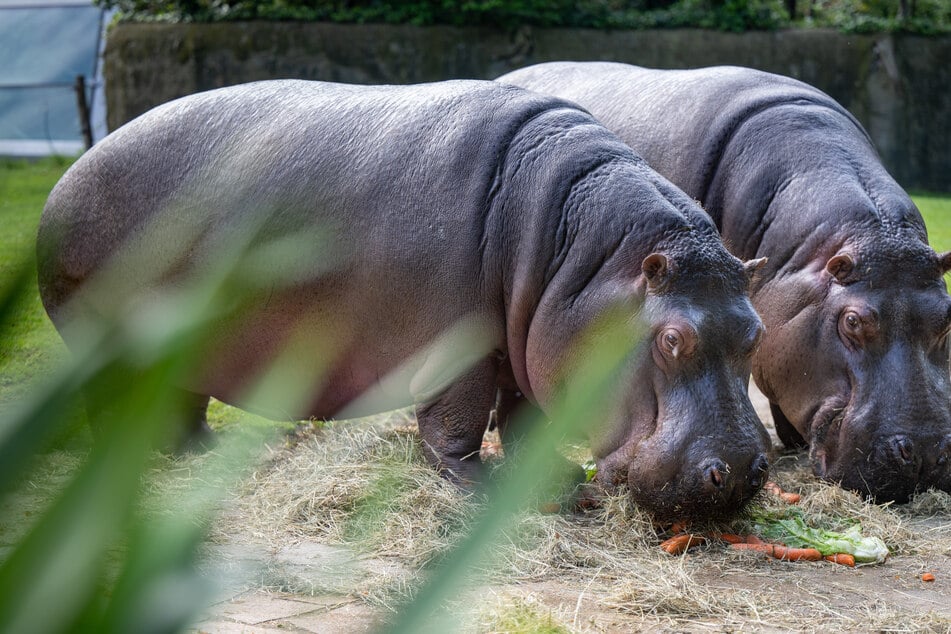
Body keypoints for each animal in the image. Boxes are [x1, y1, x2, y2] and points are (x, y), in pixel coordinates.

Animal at [39, 78, 772, 520]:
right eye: (671, 339)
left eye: (756, 332)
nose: (739, 472)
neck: (581, 255)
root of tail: (64, 184)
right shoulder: (463, 346)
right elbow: (457, 418)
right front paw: (476, 488)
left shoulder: (527, 340)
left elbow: (523, 417)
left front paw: (551, 482)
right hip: (105, 340)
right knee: (112, 400)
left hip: (180, 350)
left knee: (180, 398)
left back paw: (200, 453)